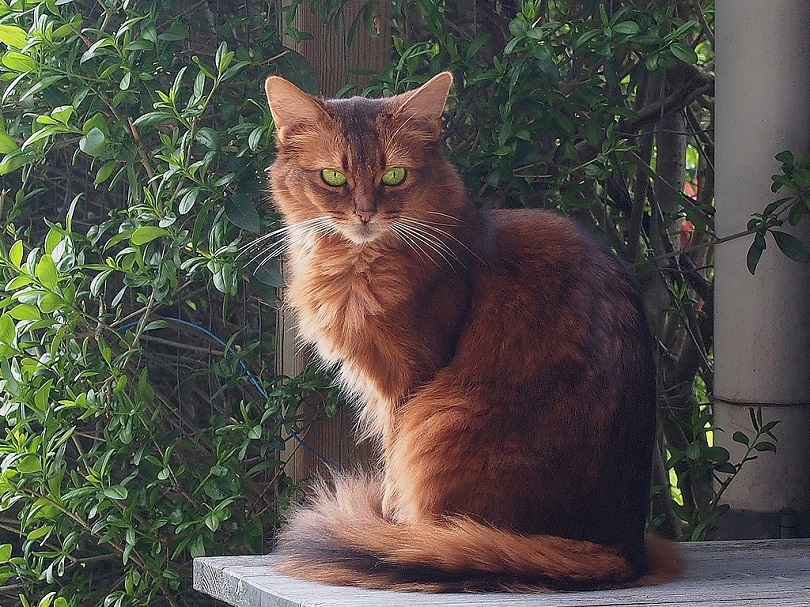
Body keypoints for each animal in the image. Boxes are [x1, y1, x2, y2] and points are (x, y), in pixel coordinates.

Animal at [262, 71, 680, 592]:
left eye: (394, 176)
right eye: (333, 178)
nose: (364, 213)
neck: (357, 264)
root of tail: (624, 549)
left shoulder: (408, 383)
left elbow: (392, 463)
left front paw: (394, 530)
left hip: (440, 418)